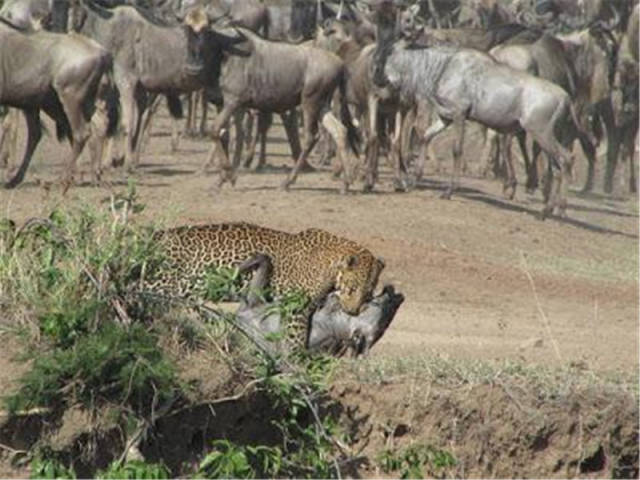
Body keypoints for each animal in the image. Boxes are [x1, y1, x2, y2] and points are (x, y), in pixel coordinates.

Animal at [144, 221, 384, 348]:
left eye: (368, 293)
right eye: (352, 288)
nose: (353, 311)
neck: (331, 265)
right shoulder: (295, 305)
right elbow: (295, 336)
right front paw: (297, 357)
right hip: (166, 283)